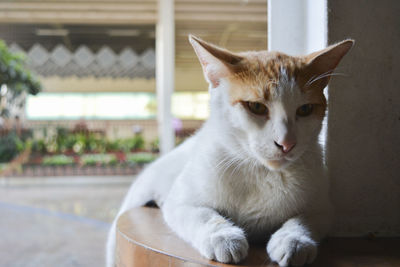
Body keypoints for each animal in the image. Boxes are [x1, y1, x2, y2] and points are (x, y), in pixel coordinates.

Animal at [105, 35, 354, 267]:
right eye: (256, 106)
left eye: (305, 109)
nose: (286, 143)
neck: (261, 173)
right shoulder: (180, 201)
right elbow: (202, 214)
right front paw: (222, 237)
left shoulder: (323, 208)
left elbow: (303, 220)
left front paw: (293, 241)